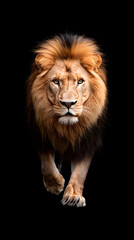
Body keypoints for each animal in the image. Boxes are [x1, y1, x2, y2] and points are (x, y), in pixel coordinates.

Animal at [26, 33, 107, 206]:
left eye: (80, 81)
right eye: (56, 81)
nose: (68, 103)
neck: (67, 128)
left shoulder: (87, 140)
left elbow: (80, 172)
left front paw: (74, 196)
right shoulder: (39, 133)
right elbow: (47, 162)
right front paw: (55, 184)